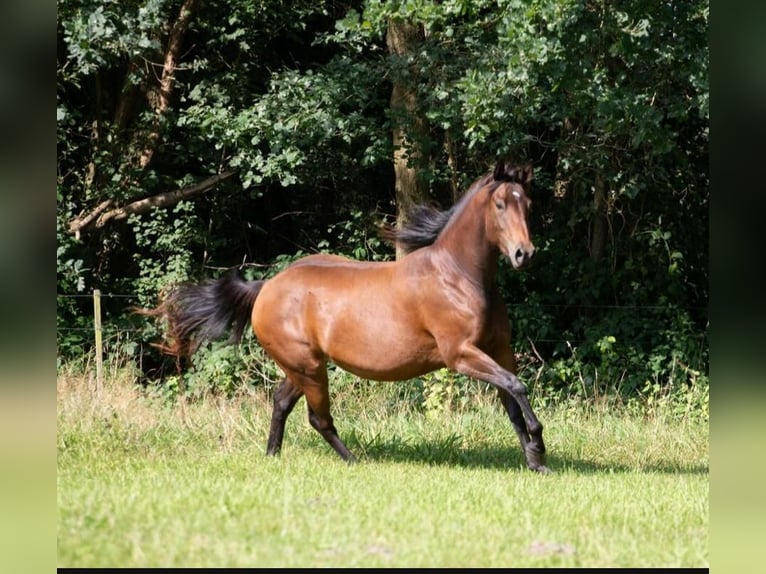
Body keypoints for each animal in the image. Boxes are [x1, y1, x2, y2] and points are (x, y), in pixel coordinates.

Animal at [142, 161, 552, 472]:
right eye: (500, 204)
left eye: (528, 204)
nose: (524, 254)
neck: (458, 277)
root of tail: (268, 286)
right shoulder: (461, 355)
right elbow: (517, 388)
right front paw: (539, 443)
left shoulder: (498, 351)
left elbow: (512, 403)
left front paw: (535, 462)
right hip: (308, 367)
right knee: (317, 417)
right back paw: (354, 461)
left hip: (301, 366)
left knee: (281, 402)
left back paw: (273, 456)